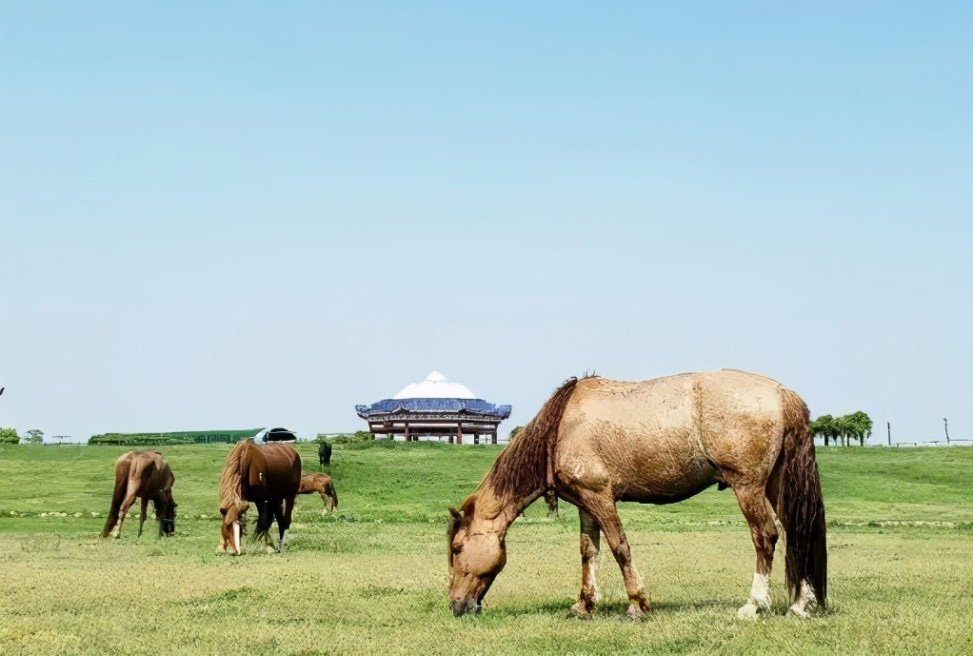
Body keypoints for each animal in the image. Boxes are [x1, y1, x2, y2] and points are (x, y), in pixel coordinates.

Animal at [444, 368, 824, 620]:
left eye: (457, 548)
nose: (457, 605)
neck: (560, 427)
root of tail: (782, 394)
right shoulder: (586, 504)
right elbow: (589, 552)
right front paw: (584, 604)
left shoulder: (601, 498)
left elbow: (619, 547)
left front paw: (637, 603)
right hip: (775, 486)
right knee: (798, 532)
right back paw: (800, 604)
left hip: (748, 487)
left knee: (766, 537)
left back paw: (754, 604)